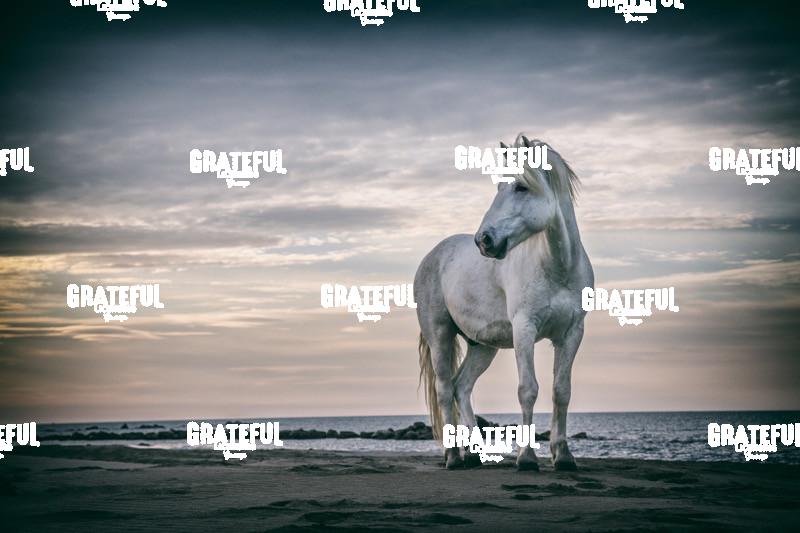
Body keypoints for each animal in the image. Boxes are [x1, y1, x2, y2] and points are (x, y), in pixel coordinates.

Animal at [415, 134, 593, 471]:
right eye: (499, 187)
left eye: (521, 187)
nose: (483, 240)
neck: (558, 267)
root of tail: (433, 255)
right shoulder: (525, 329)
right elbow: (528, 389)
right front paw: (526, 458)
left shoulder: (572, 333)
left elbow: (561, 391)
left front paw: (563, 456)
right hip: (440, 335)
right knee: (445, 389)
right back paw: (453, 457)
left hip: (482, 346)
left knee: (462, 387)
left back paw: (475, 454)